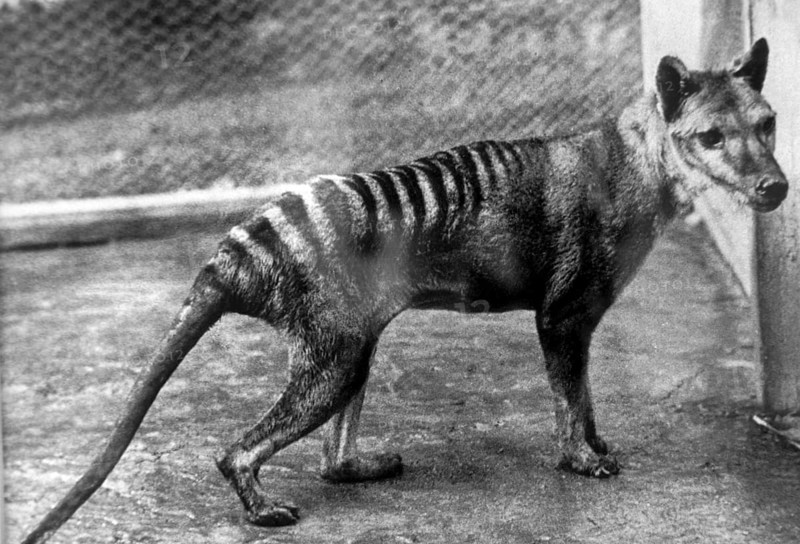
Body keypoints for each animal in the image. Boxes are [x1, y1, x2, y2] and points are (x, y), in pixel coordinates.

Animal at [22, 38, 787, 543]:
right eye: (710, 136)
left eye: (768, 123)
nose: (774, 186)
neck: (636, 162)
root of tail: (237, 251)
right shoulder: (564, 316)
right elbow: (570, 400)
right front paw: (581, 461)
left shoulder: (580, 325)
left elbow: (588, 399)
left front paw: (597, 444)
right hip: (333, 358)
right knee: (237, 450)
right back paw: (263, 509)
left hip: (352, 344)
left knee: (332, 460)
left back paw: (359, 465)